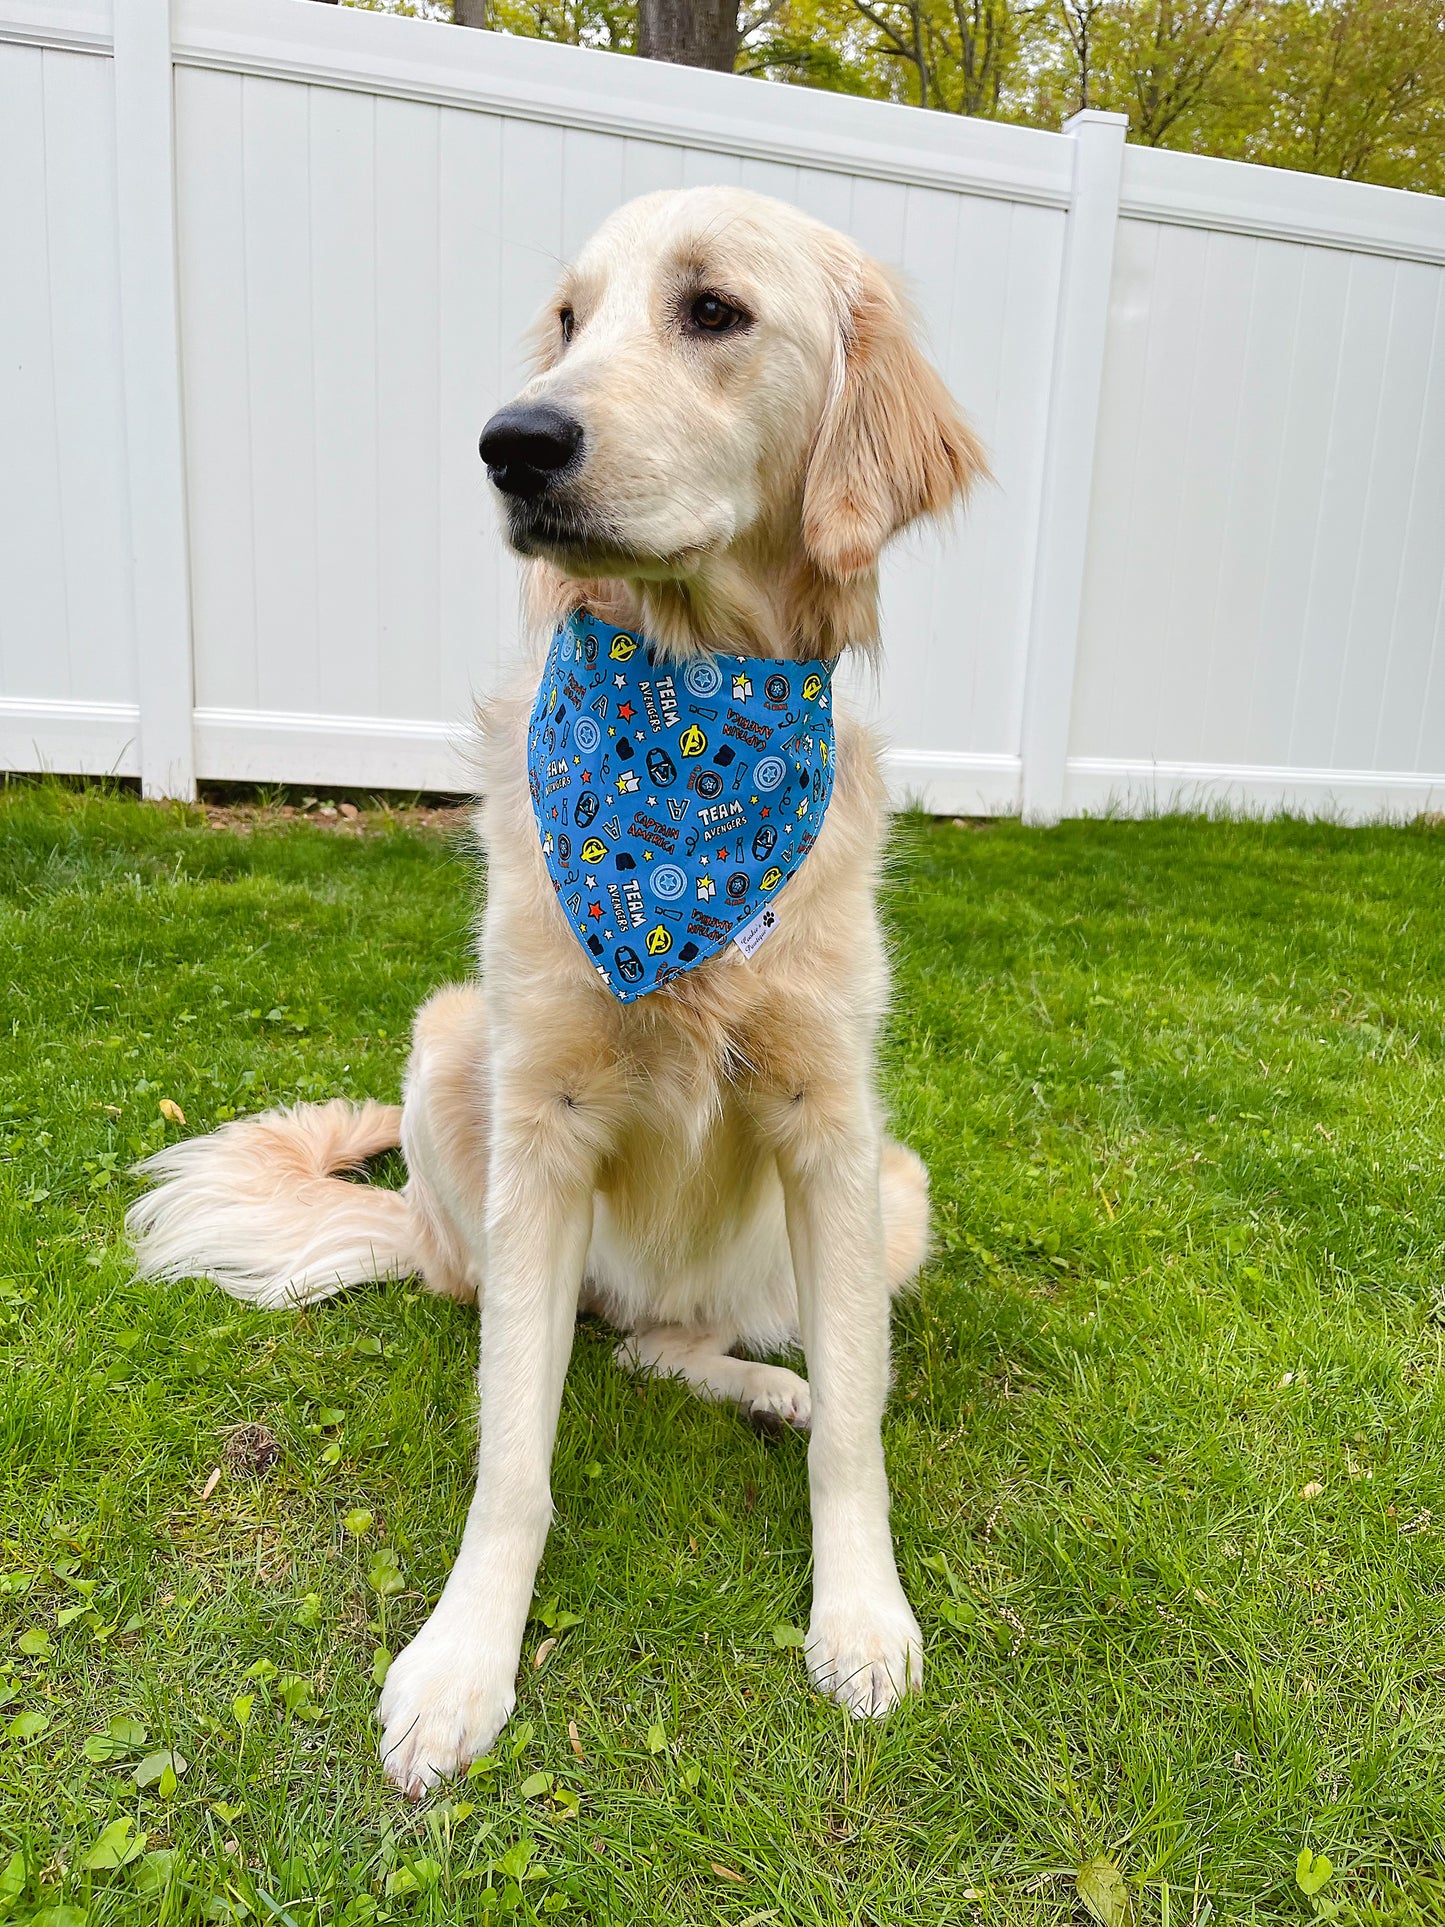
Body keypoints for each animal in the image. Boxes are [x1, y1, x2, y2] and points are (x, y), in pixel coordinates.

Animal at [130, 187, 994, 1795]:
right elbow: (510, 1460)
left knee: (694, 1347)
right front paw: (462, 1661)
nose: (510, 443)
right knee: (581, 1332)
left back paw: (774, 1386)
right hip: (451, 1054)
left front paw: (861, 1613)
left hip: (895, 1189)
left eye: (711, 310)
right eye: (568, 321)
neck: (694, 731)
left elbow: (858, 1432)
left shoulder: (834, 1123)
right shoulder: (542, 1125)